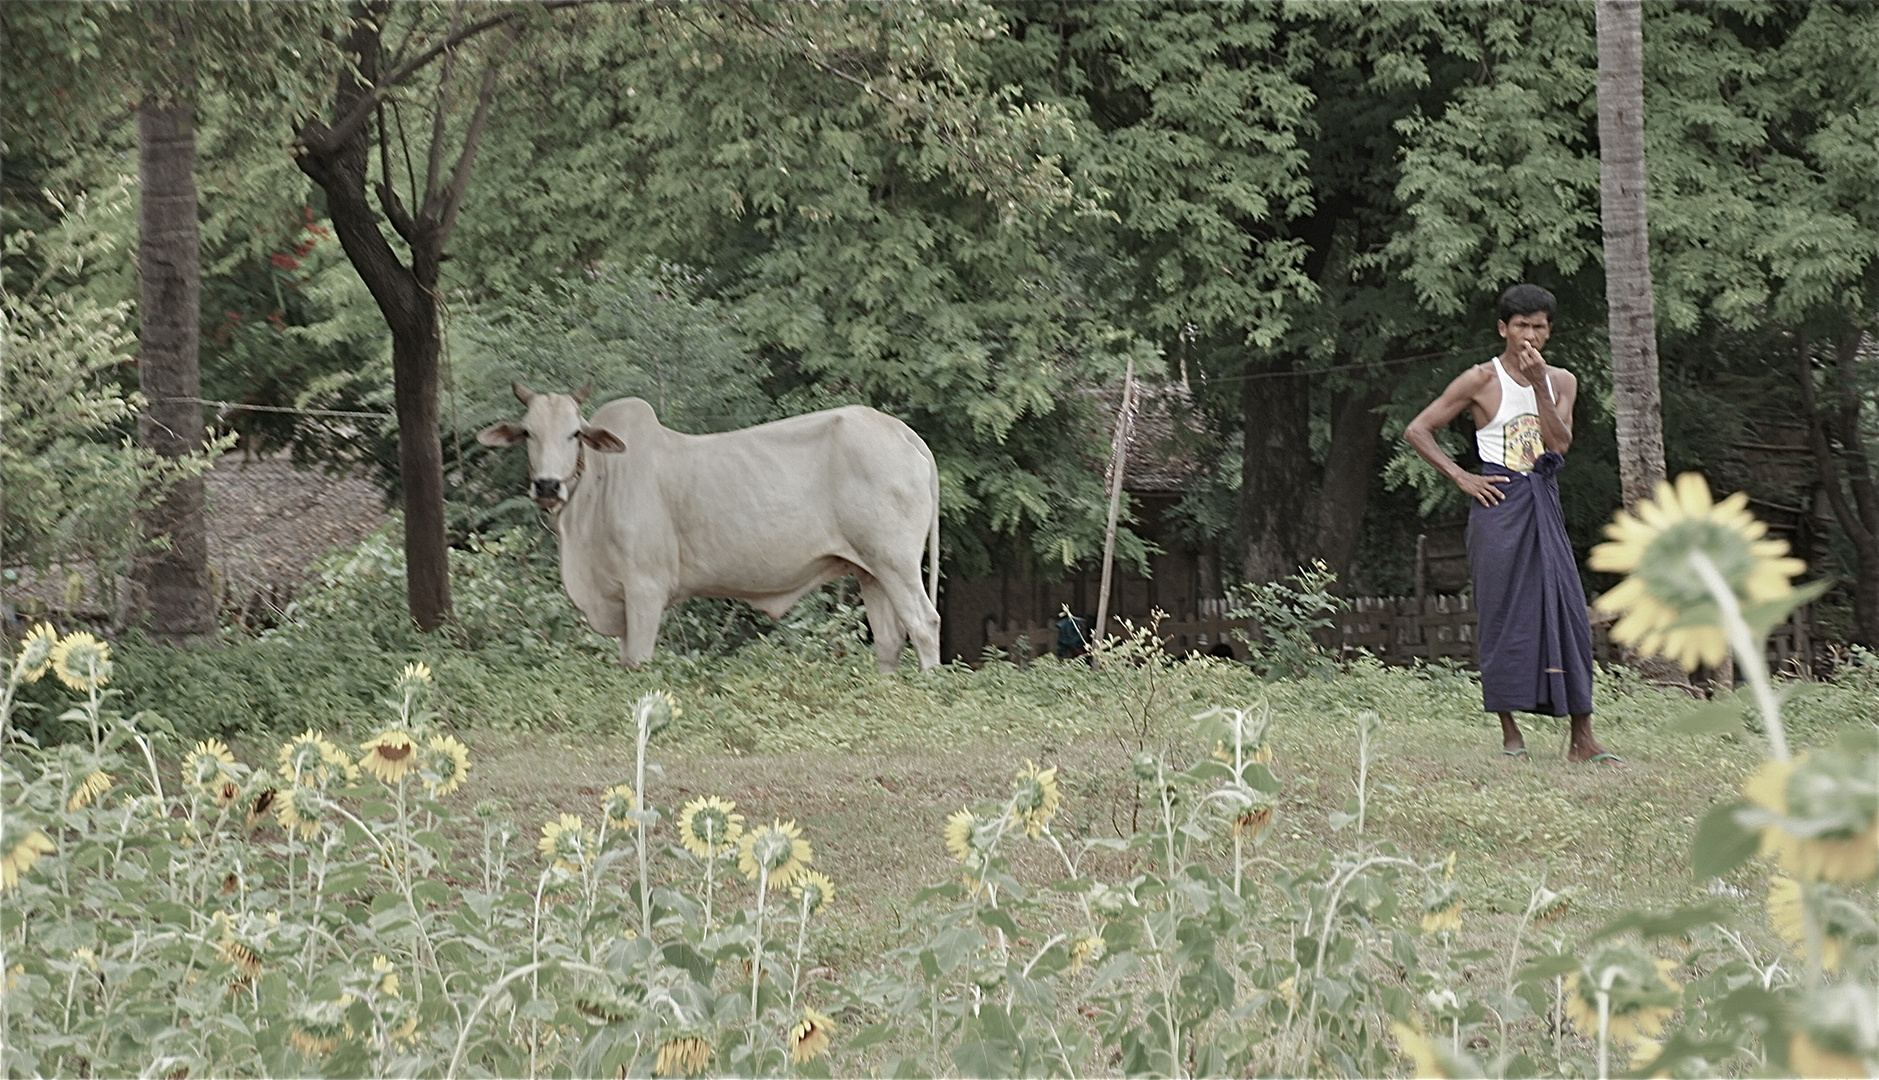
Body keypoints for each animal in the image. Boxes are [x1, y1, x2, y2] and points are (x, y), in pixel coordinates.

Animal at [469, 379, 939, 668]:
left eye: (574, 433)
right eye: (528, 433)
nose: (547, 485)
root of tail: (904, 434)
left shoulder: (646, 589)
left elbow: (639, 662)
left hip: (896, 563)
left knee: (924, 625)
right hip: (870, 570)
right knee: (889, 641)